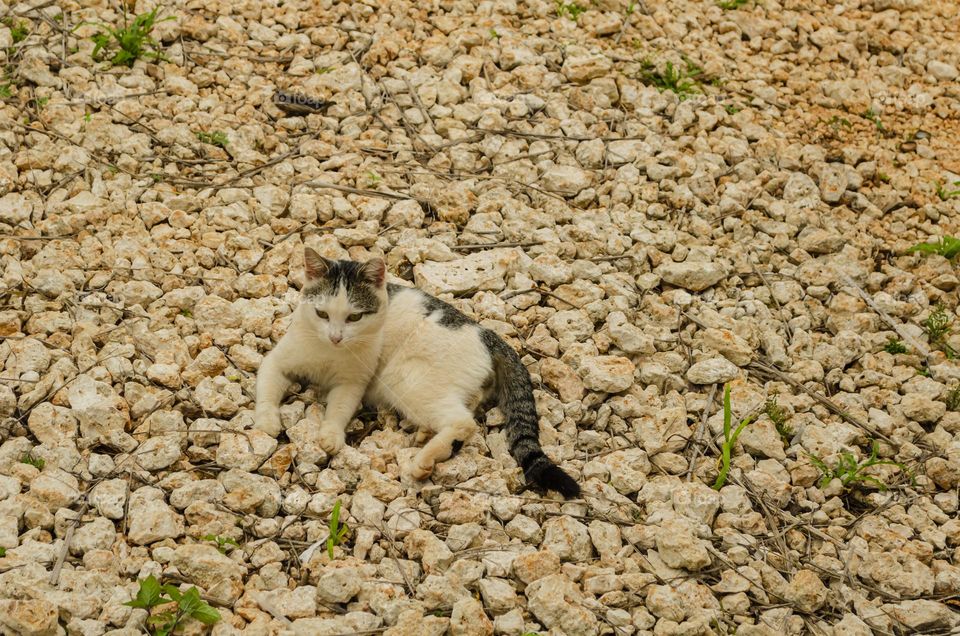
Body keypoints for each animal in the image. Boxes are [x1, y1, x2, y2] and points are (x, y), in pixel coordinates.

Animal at [253, 247, 576, 496]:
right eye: (321, 314)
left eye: (354, 317)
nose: (335, 337)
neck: (327, 353)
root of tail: (490, 335)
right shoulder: (276, 361)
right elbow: (266, 389)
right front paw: (267, 421)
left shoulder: (353, 383)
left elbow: (339, 409)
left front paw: (330, 435)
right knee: (466, 408)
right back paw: (425, 436)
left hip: (404, 379)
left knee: (463, 422)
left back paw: (423, 462)